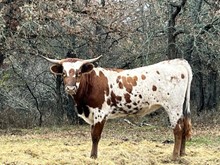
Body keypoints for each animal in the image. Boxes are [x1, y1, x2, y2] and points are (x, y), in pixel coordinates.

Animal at [41, 55, 192, 160]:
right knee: (184, 126)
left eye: (79, 73)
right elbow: (92, 134)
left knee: (178, 129)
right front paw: (92, 155)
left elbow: (95, 136)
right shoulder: (92, 115)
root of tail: (178, 61)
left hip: (173, 107)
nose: (70, 88)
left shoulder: (100, 113)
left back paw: (174, 156)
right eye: (64, 73)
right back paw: (182, 154)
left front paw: (93, 157)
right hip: (181, 107)